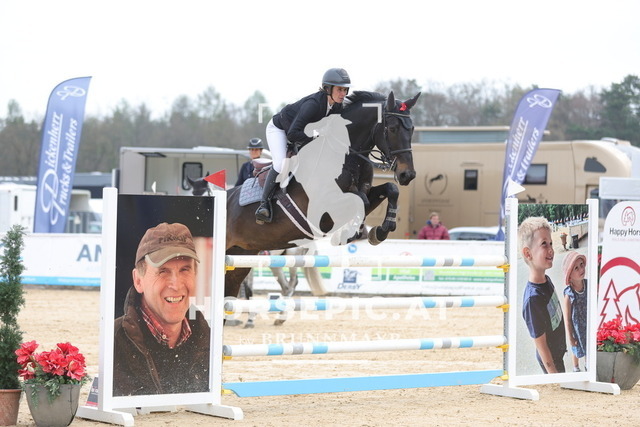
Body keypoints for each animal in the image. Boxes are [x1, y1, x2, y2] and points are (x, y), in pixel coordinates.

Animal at [225, 90, 421, 300]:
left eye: (412, 129)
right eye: (392, 128)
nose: (407, 175)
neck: (347, 158)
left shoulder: (365, 191)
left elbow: (390, 190)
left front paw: (380, 231)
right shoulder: (323, 207)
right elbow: (361, 200)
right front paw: (349, 234)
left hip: (242, 255)